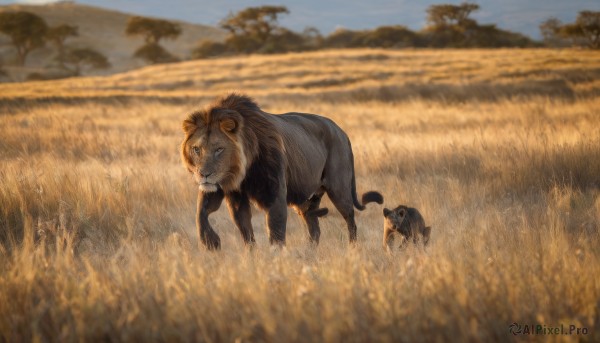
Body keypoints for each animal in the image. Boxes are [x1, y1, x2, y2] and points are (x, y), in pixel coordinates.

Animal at [180, 94, 382, 250]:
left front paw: (275, 262)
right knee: (314, 228)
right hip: (307, 201)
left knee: (350, 219)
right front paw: (213, 243)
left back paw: (353, 248)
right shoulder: (228, 192)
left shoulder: (274, 192)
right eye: (196, 149)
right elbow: (204, 216)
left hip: (338, 188)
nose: (204, 174)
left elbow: (275, 230)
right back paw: (309, 253)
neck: (242, 172)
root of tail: (342, 131)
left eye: (219, 149)